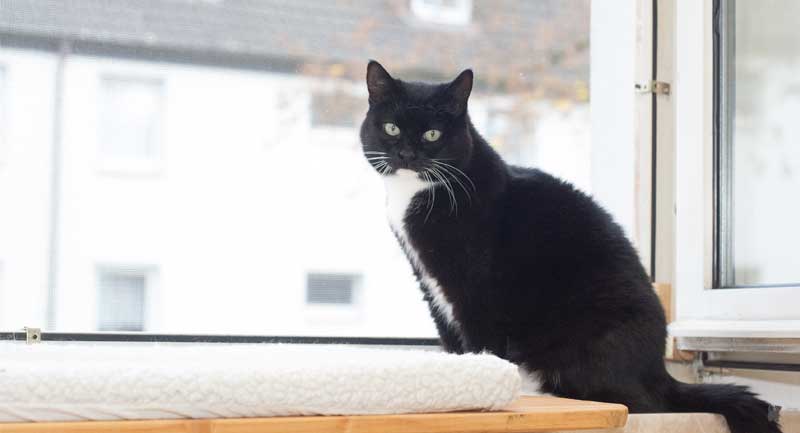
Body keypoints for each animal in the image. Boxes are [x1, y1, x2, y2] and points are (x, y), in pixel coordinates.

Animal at [360, 60, 780, 432]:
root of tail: (659, 371)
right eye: (391, 128)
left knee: (631, 401)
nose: (407, 154)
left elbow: (480, 341)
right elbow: (450, 338)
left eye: (432, 134)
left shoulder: (475, 288)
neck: (416, 193)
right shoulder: (431, 285)